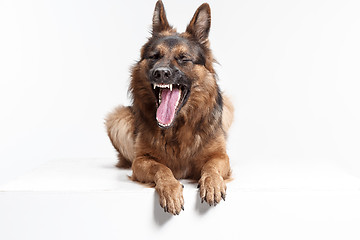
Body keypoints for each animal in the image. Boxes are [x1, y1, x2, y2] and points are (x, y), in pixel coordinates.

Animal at [105, 0, 233, 216]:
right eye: (154, 56)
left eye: (183, 58)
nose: (161, 73)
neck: (176, 128)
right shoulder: (141, 161)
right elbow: (161, 168)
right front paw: (171, 189)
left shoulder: (221, 157)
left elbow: (211, 166)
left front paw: (212, 184)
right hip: (117, 118)